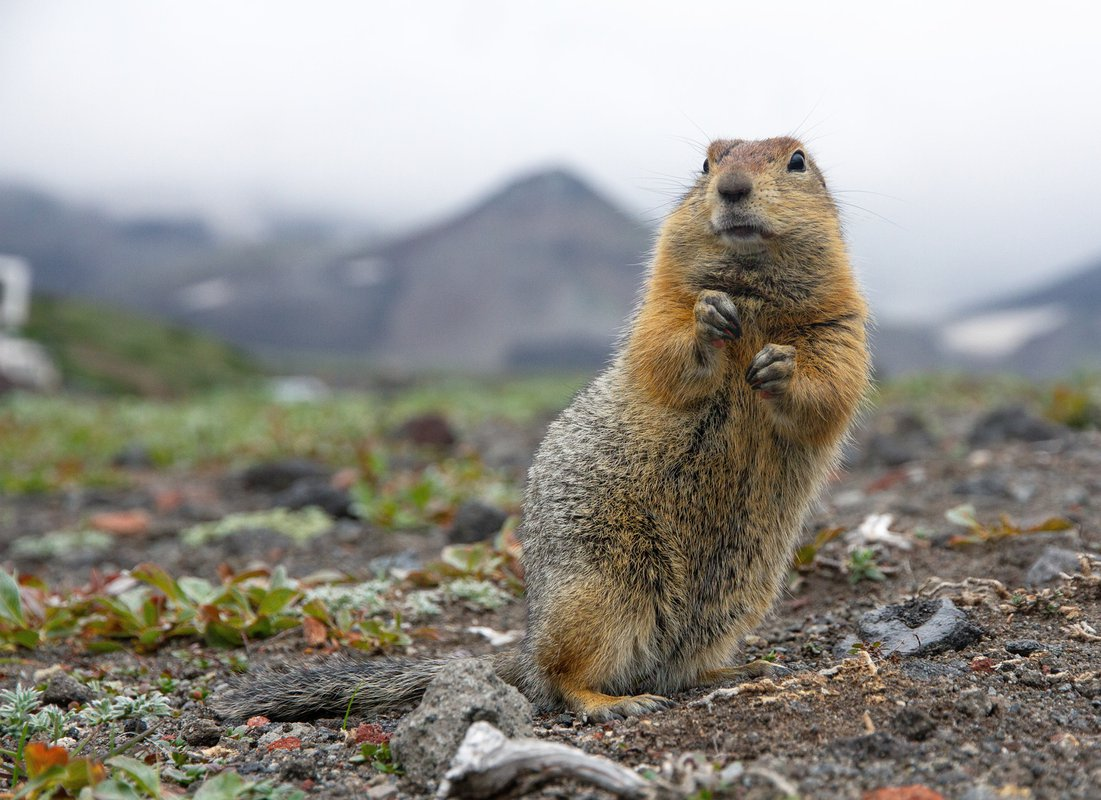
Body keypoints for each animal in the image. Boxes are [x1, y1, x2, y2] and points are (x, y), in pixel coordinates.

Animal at [214, 137, 867, 726]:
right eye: (705, 162)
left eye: (797, 160)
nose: (730, 187)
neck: (752, 293)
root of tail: (525, 646)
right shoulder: (659, 304)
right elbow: (663, 348)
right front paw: (708, 318)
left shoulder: (842, 323)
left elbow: (834, 384)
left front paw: (782, 367)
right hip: (602, 590)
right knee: (560, 679)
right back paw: (614, 701)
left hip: (733, 602)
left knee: (678, 667)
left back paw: (741, 667)